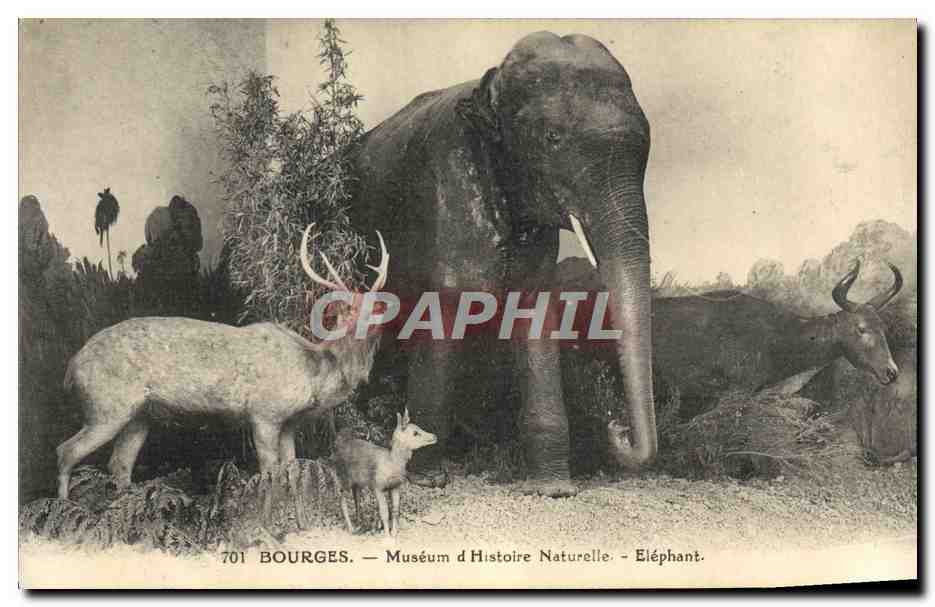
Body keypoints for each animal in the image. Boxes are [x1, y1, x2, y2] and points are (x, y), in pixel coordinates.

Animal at [343, 31, 656, 496]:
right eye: (552, 138)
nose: (615, 426)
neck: (488, 89)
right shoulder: (446, 189)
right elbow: (445, 310)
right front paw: (429, 480)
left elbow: (535, 315)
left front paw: (555, 489)